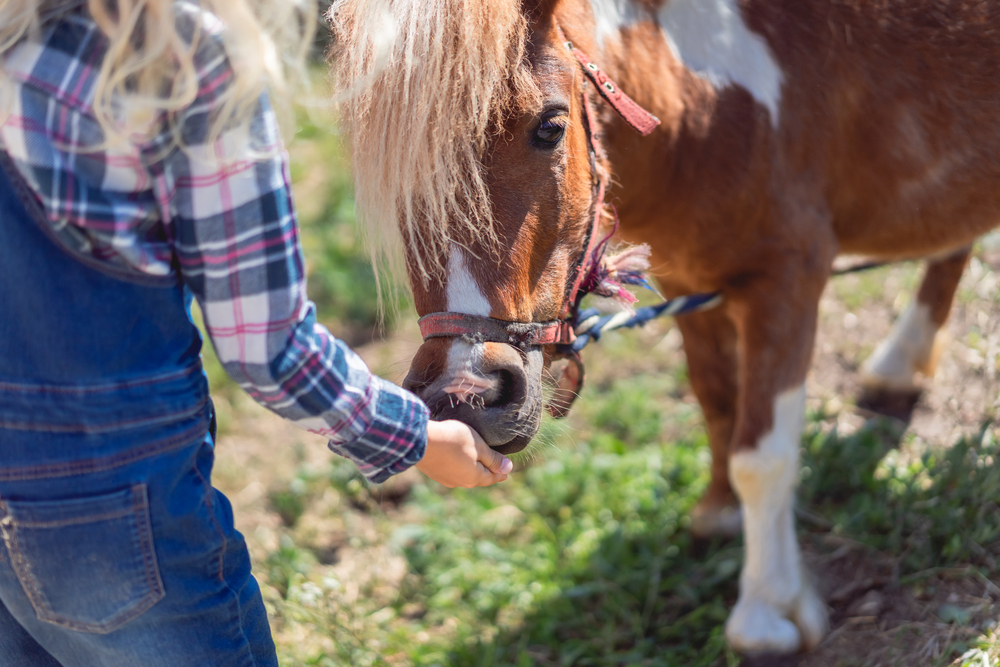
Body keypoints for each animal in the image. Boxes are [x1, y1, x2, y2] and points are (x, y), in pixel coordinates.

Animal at [330, 0, 1000, 656]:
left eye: (550, 127)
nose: (465, 395)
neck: (704, 100)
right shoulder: (690, 286)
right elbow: (718, 408)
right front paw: (720, 514)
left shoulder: (786, 281)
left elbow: (762, 453)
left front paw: (768, 611)